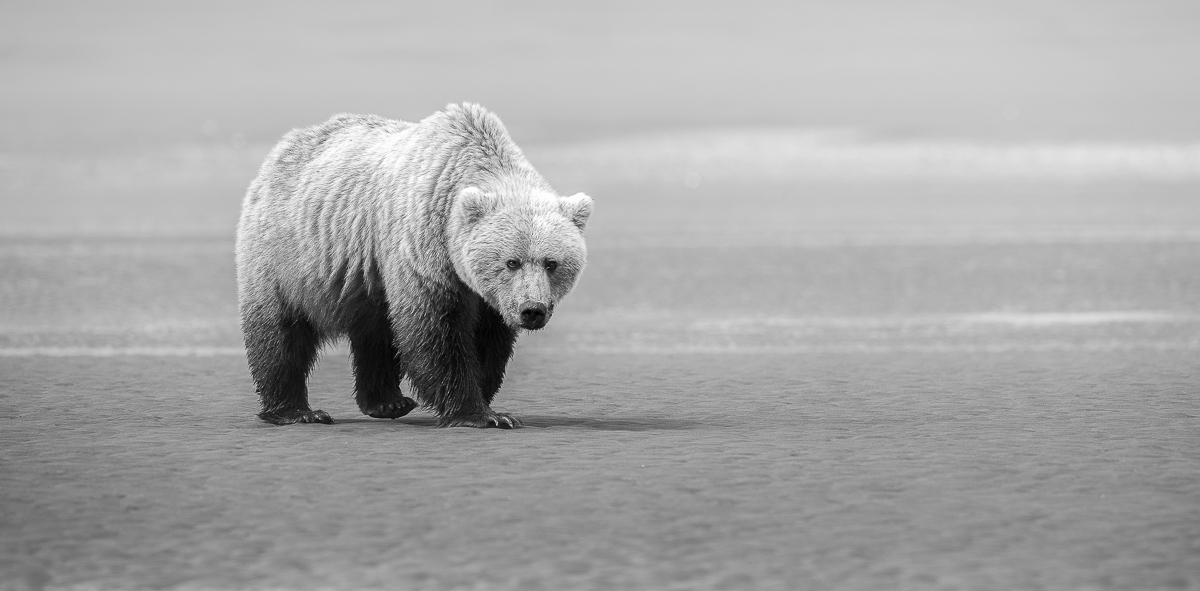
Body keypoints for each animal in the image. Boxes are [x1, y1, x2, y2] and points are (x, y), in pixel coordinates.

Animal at [235, 103, 592, 428]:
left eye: (551, 263)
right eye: (512, 262)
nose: (532, 310)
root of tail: (285, 146)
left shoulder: (486, 294)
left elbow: (488, 340)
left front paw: (488, 400)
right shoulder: (424, 249)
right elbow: (436, 333)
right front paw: (482, 414)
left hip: (365, 277)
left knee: (375, 333)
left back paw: (387, 402)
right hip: (287, 255)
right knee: (281, 333)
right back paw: (297, 411)